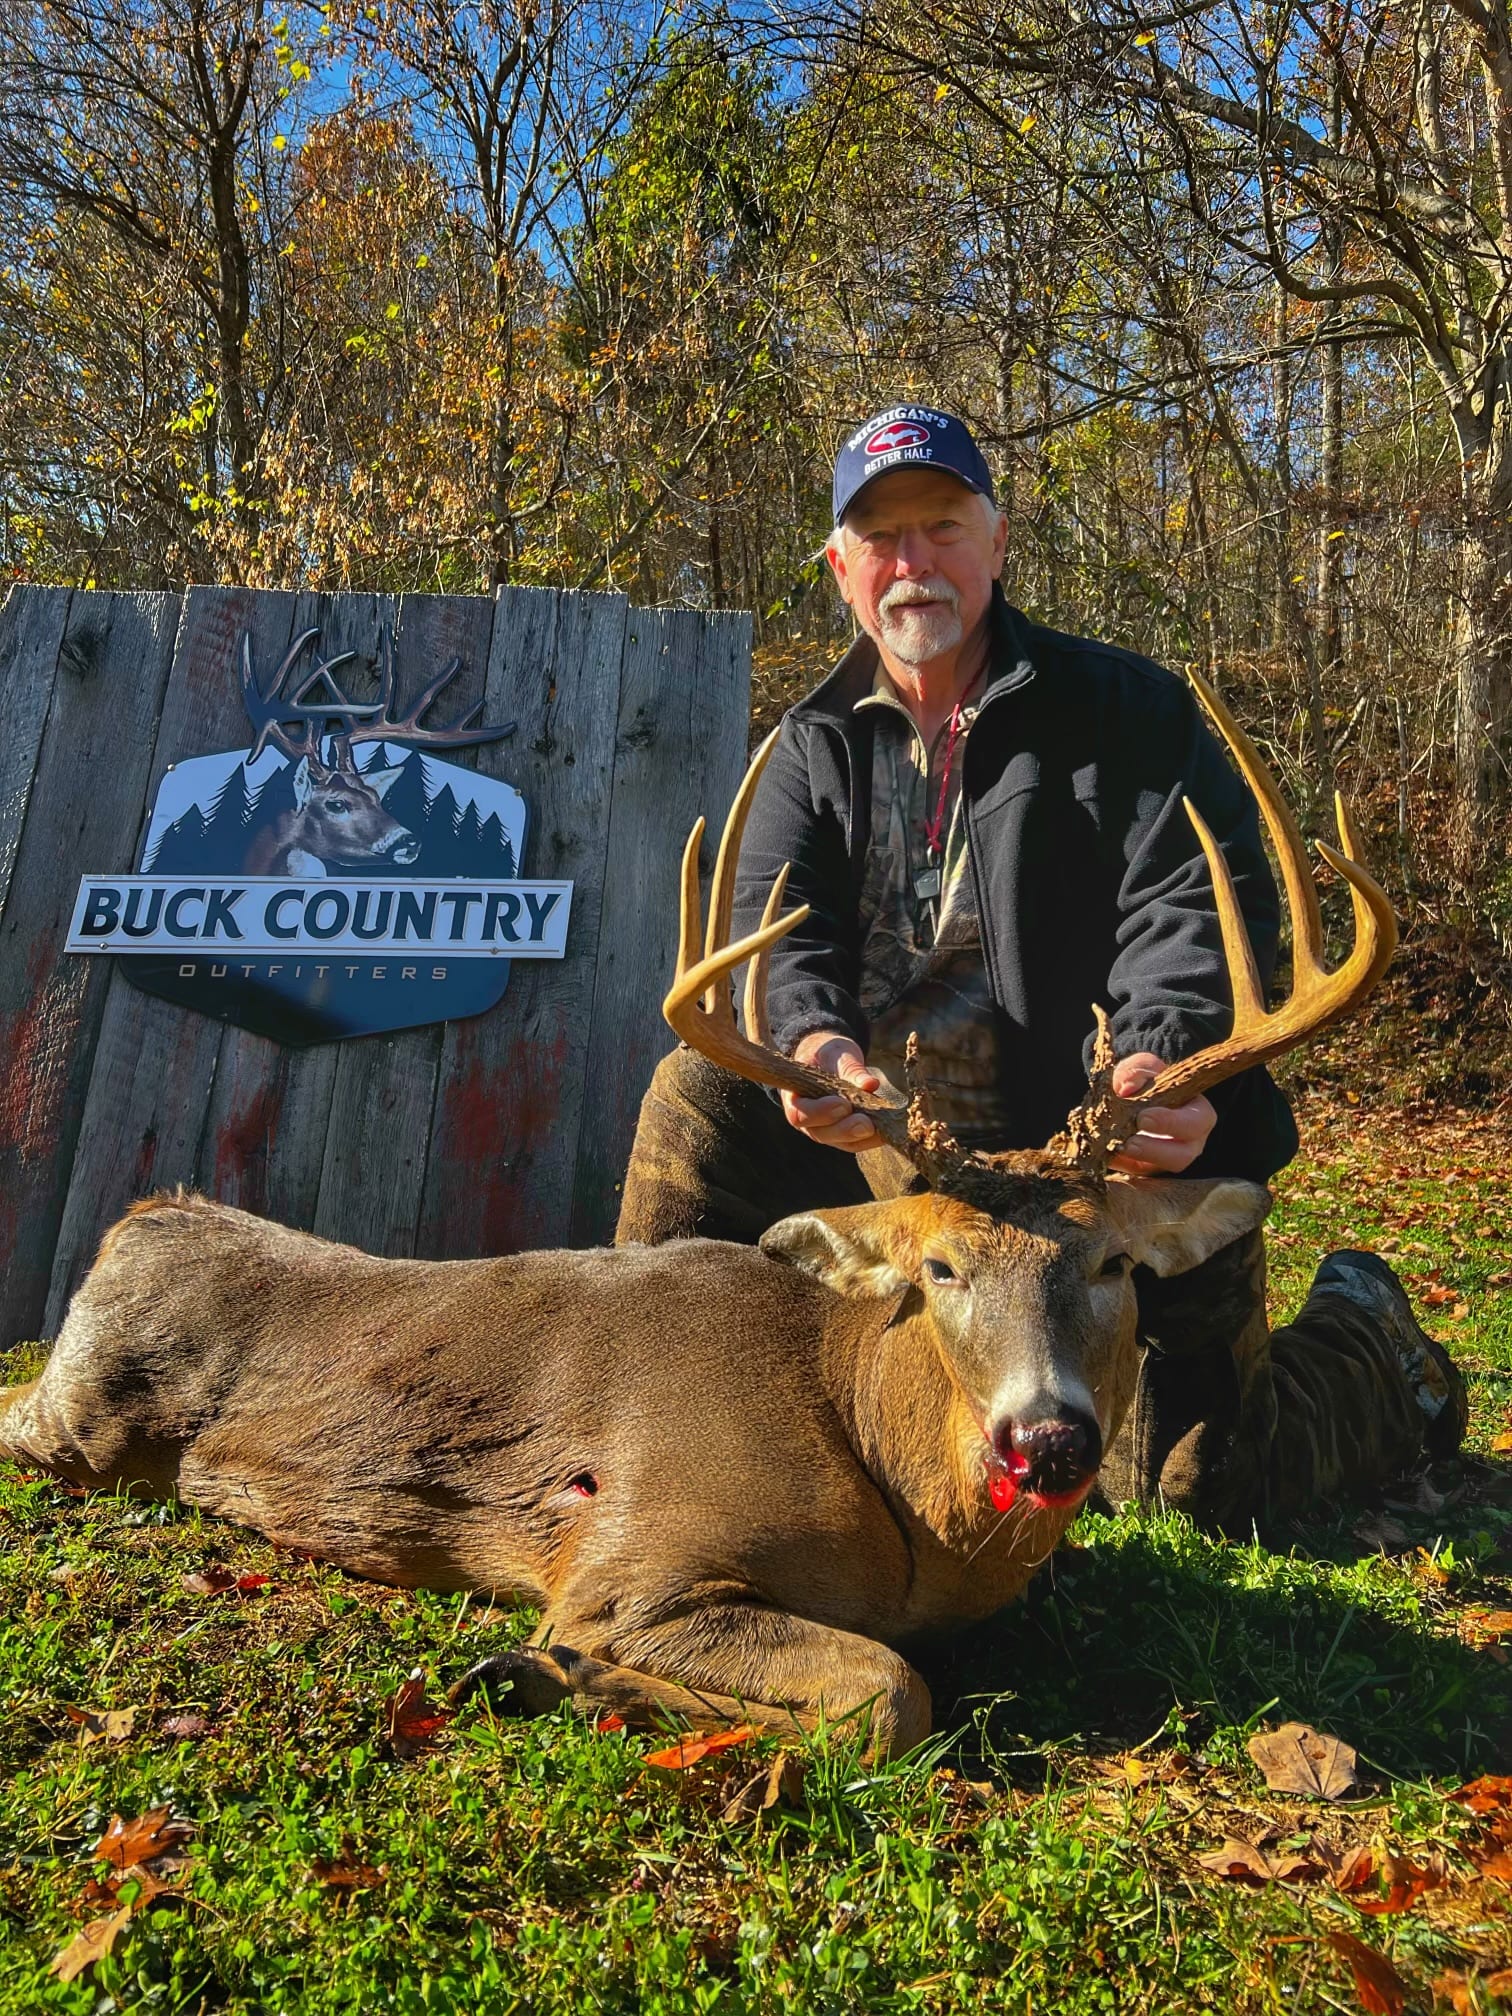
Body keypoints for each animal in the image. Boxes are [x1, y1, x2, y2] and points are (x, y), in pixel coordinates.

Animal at [0, 677, 1395, 1756]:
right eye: (939, 1269)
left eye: (1112, 1262)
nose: (1046, 1441)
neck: (895, 1486)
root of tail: (141, 1211)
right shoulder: (635, 1552)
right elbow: (889, 1692)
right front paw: (546, 1670)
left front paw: (551, 1678)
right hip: (81, 1418)